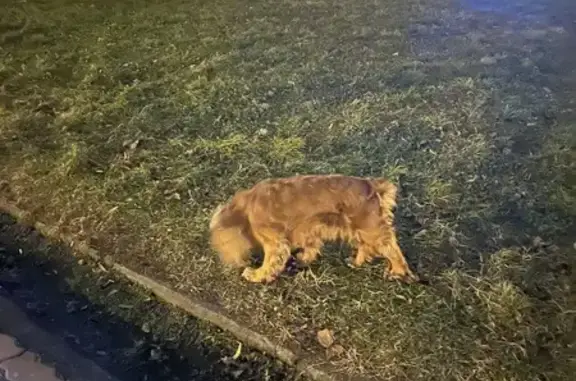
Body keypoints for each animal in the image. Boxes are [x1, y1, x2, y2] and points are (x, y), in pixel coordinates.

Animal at [209, 174, 416, 284]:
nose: (225, 262)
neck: (247, 205)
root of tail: (372, 186)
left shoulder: (274, 242)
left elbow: (270, 262)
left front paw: (255, 274)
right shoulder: (309, 229)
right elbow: (310, 247)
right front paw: (303, 258)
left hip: (371, 230)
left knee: (392, 250)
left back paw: (397, 272)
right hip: (357, 228)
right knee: (365, 247)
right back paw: (355, 261)